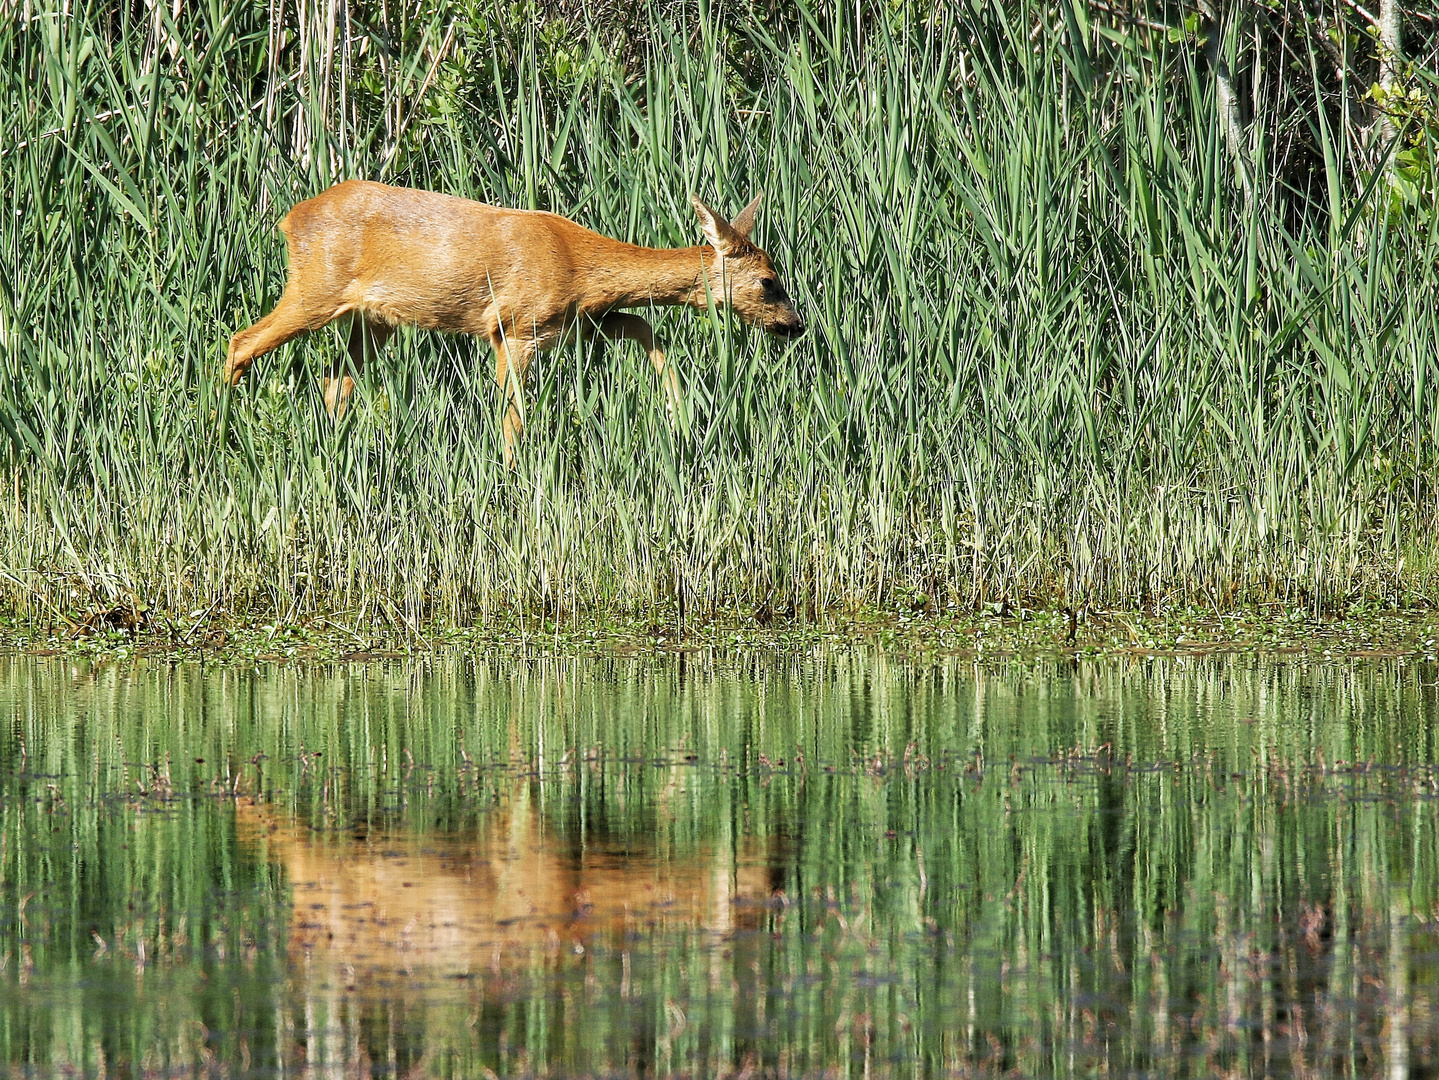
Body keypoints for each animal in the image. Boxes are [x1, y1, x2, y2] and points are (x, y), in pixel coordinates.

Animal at [225, 181, 811, 460]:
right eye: (769, 280)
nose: (798, 324)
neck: (577, 265)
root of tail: (289, 218)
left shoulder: (576, 321)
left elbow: (644, 327)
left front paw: (678, 409)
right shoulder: (513, 326)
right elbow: (515, 417)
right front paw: (511, 484)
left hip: (374, 319)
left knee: (334, 379)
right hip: (315, 287)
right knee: (240, 341)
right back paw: (218, 433)